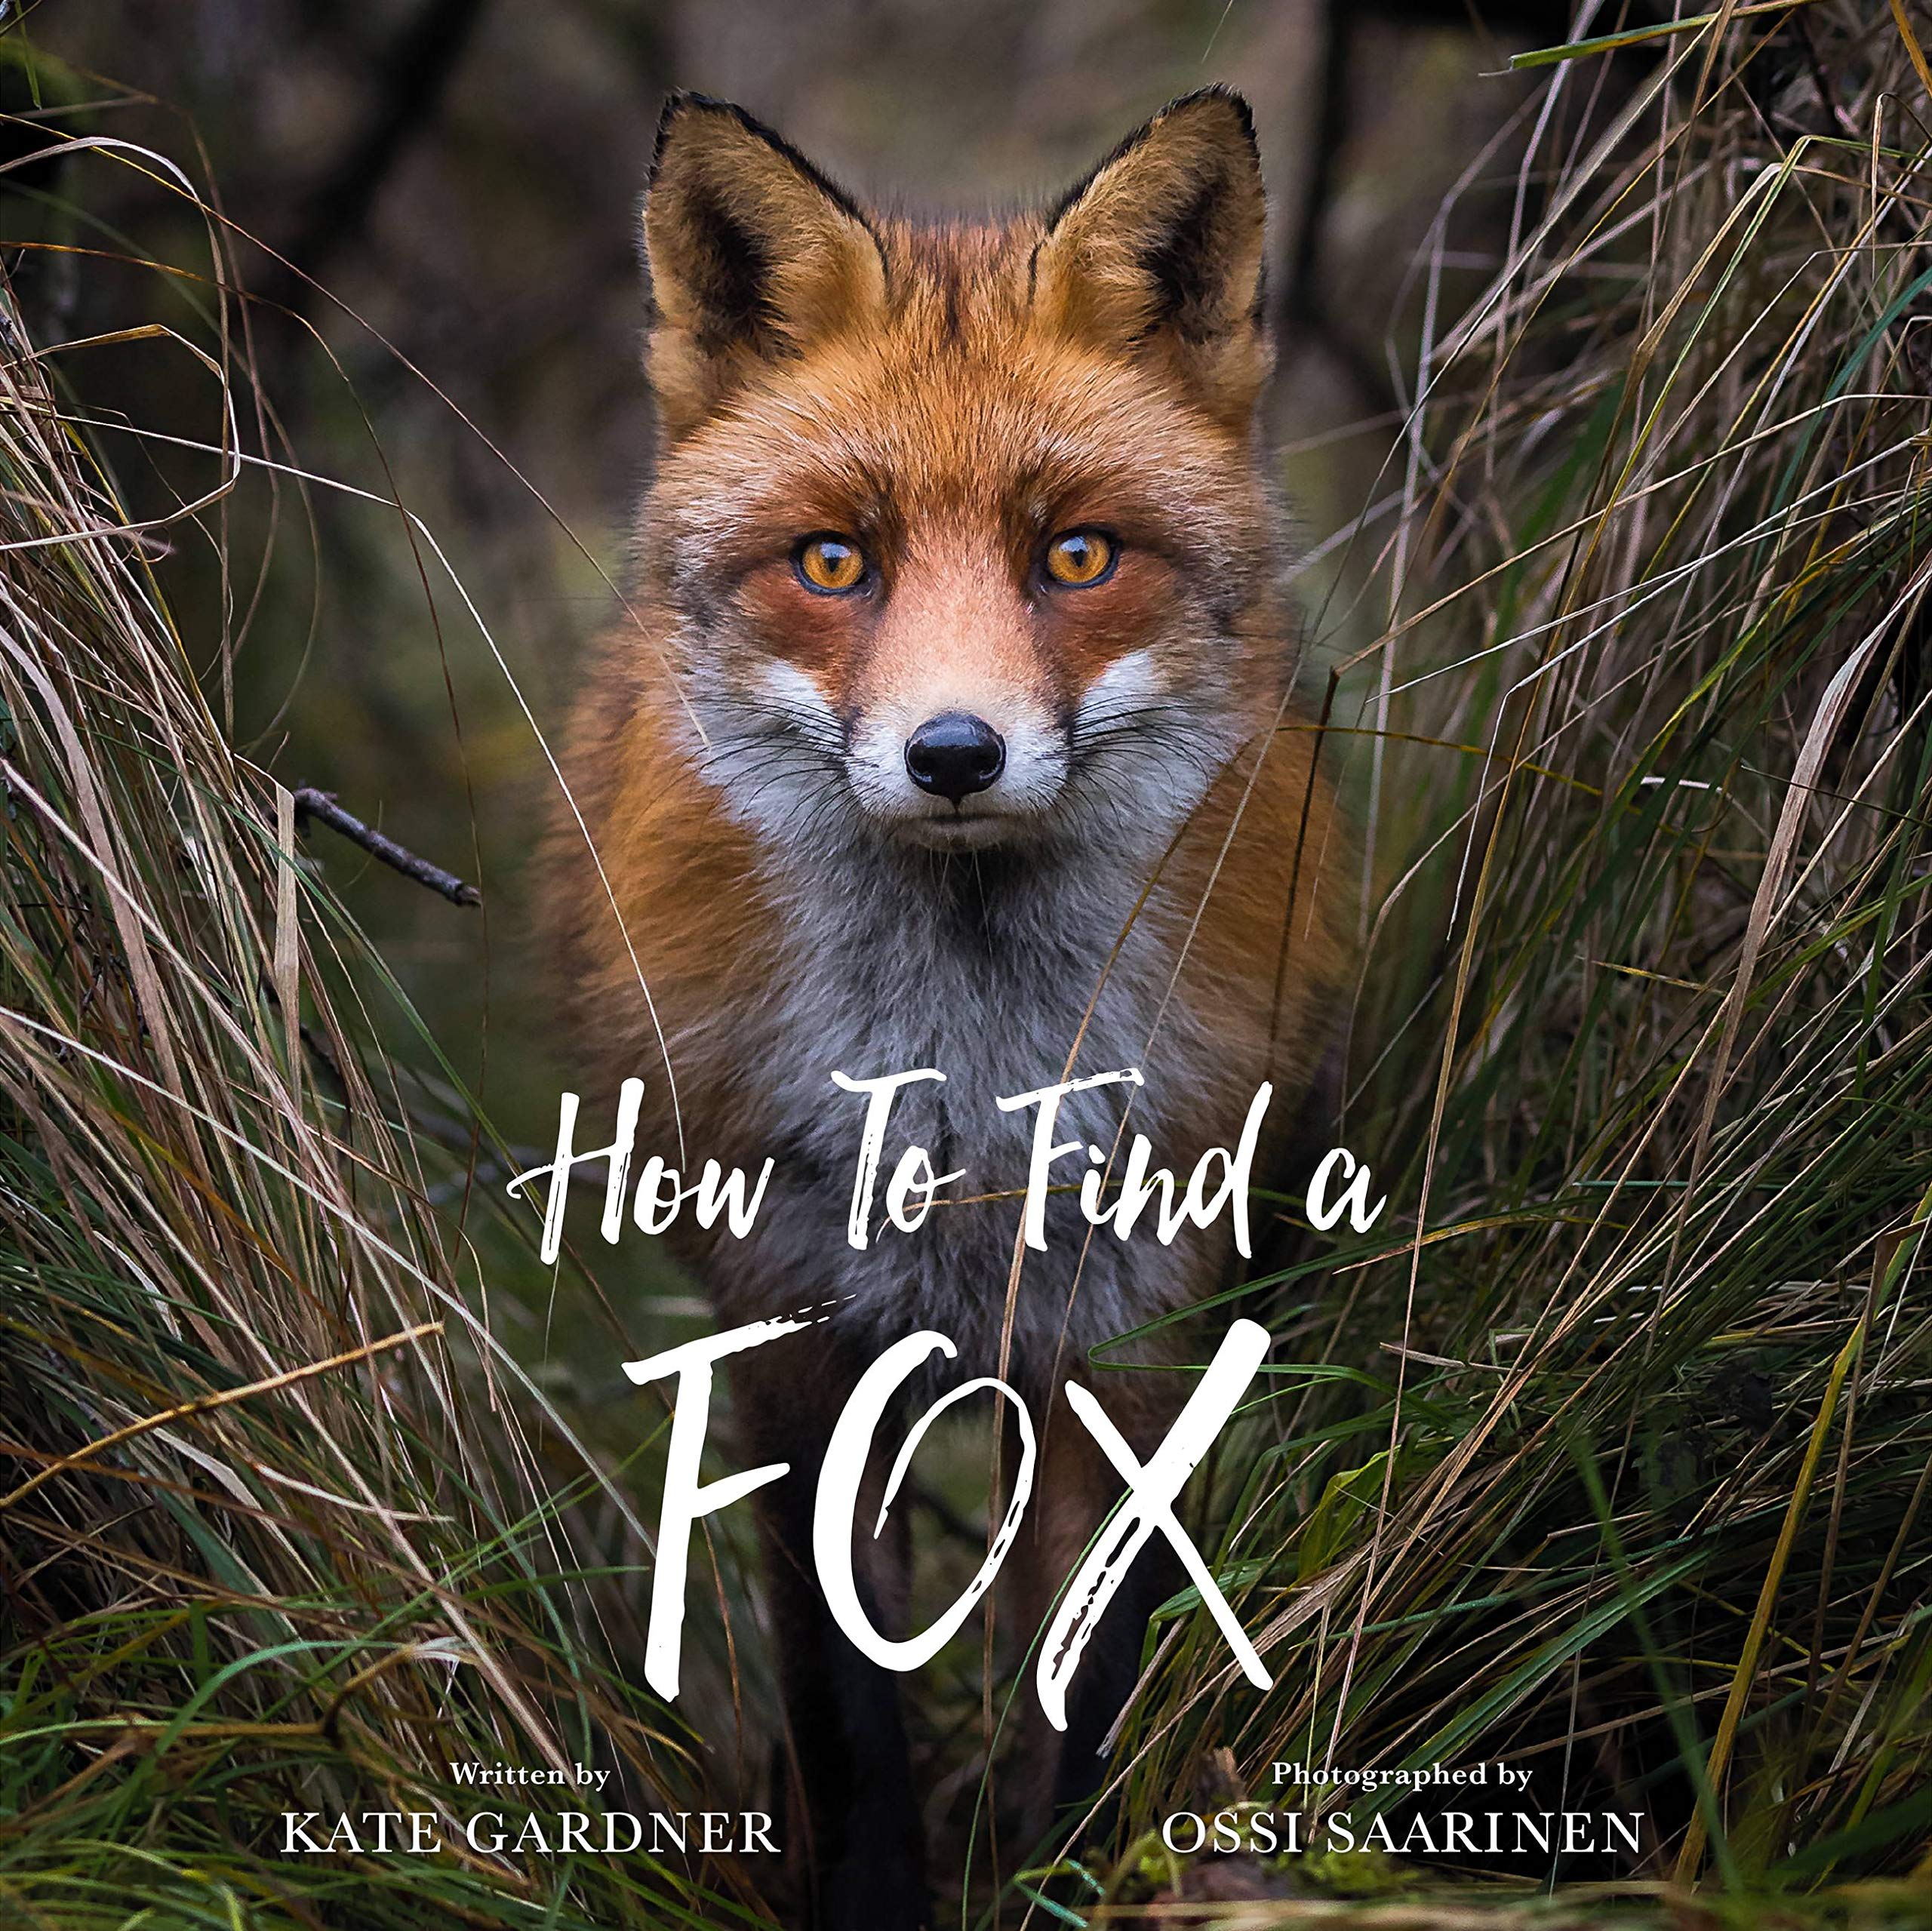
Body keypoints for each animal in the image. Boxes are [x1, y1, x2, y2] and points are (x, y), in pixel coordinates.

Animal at [544, 85, 1351, 1931]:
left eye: (1077, 555)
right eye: (835, 560)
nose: (956, 754)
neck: (970, 1096)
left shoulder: (1132, 1330)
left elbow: (1085, 1682)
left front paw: (1060, 1876)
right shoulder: (795, 1330)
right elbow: (849, 1713)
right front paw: (874, 1894)